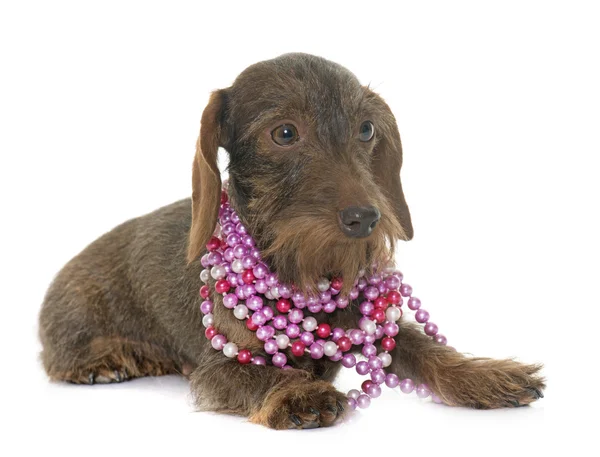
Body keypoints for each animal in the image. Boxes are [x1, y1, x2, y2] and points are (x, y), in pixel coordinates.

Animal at [37, 53, 544, 428]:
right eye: (284, 133)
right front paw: (296, 391)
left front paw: (483, 375)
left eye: (366, 129)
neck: (306, 273)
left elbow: (425, 348)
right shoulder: (216, 369)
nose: (366, 218)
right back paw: (108, 358)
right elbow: (254, 376)